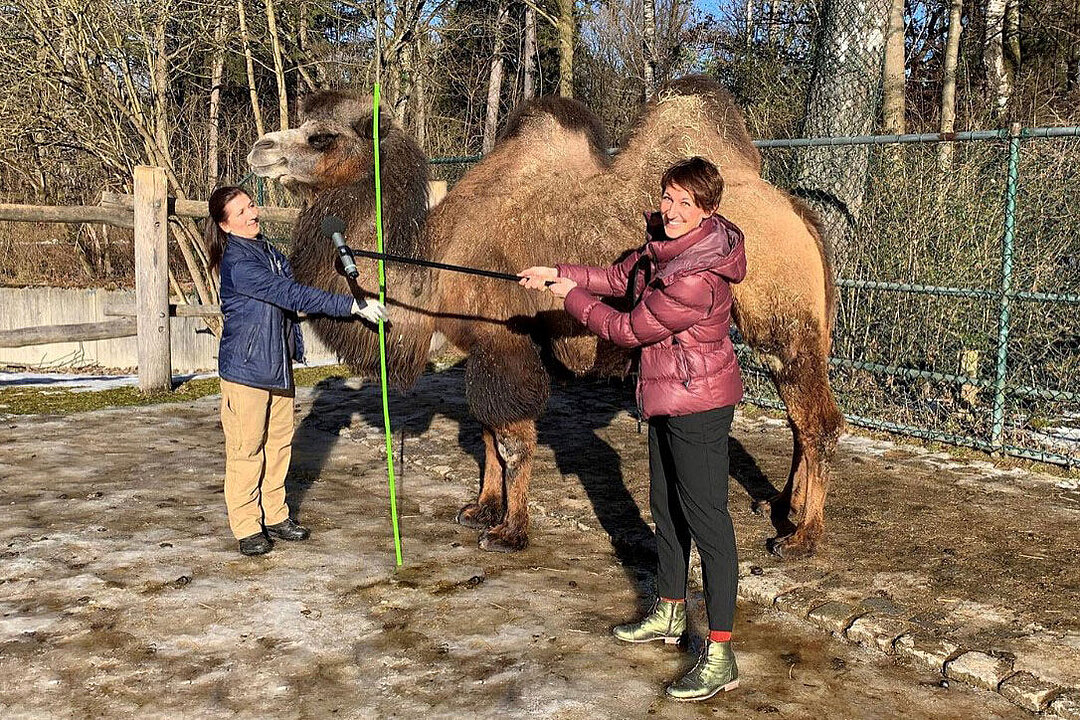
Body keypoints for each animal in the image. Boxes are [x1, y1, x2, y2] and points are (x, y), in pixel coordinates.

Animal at [247, 77, 842, 557]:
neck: (431, 257)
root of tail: (799, 213)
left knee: (816, 419)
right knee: (799, 415)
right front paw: (480, 510)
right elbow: (486, 432)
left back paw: (802, 538)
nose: (259, 148)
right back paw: (781, 508)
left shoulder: (503, 340)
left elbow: (512, 439)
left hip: (781, 317)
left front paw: (510, 532)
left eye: (321, 137)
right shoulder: (483, 346)